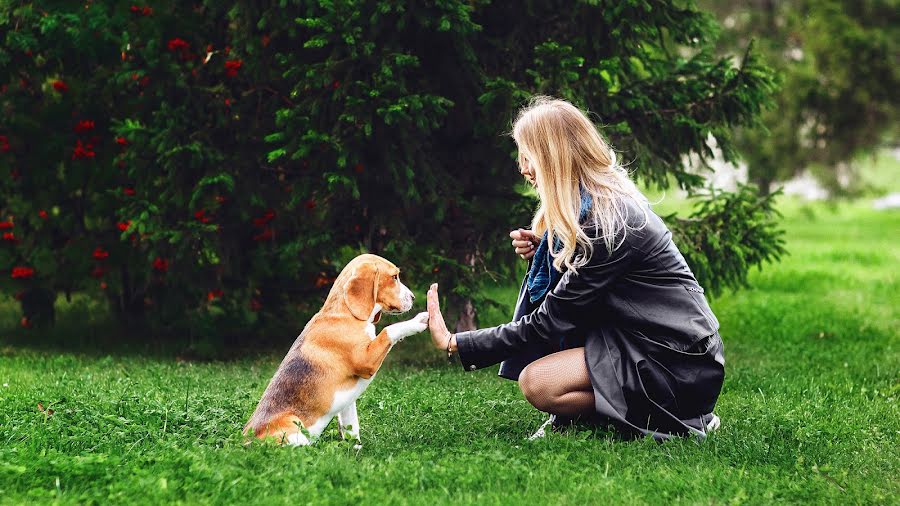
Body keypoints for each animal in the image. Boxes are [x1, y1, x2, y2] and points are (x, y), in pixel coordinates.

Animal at [246, 255, 428, 444]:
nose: (413, 297)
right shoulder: (366, 360)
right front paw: (417, 321)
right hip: (295, 427)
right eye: (394, 277)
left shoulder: (347, 403)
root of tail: (244, 442)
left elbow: (351, 428)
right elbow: (389, 329)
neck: (346, 313)